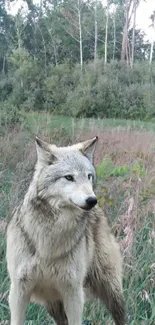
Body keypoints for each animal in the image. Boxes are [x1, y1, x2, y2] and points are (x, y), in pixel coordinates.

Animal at [6, 135, 126, 324]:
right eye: (69, 177)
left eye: (89, 176)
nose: (92, 200)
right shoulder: (19, 291)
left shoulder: (73, 292)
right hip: (53, 303)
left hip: (111, 291)